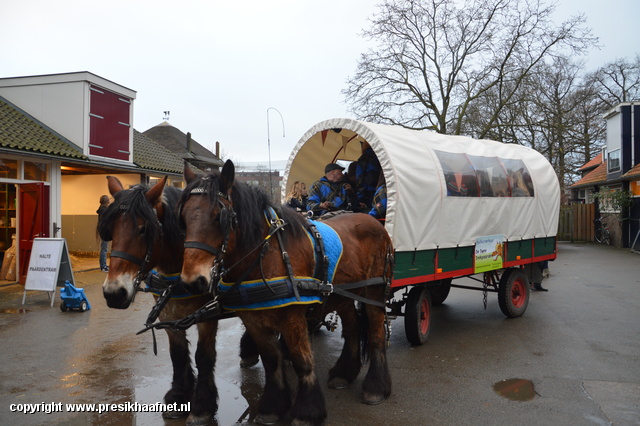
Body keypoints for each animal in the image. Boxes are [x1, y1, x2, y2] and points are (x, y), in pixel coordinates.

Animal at [99, 176, 219, 426]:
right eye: (111, 229)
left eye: (144, 229)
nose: (114, 293)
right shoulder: (168, 314)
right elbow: (178, 354)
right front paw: (179, 396)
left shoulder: (208, 315)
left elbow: (204, 356)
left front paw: (202, 406)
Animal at [178, 161, 392, 424]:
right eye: (183, 218)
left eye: (220, 217)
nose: (193, 281)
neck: (266, 253)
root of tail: (373, 221)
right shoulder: (252, 318)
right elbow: (271, 360)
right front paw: (272, 407)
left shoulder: (292, 317)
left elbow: (302, 360)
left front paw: (307, 411)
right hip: (342, 295)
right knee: (352, 330)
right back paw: (344, 373)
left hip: (374, 292)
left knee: (376, 334)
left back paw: (376, 387)